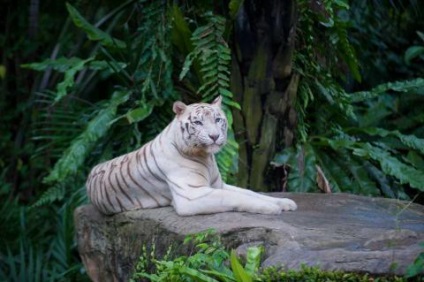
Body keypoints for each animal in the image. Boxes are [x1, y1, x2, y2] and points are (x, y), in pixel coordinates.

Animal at [86, 96, 298, 215]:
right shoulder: (192, 195)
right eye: (198, 122)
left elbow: (250, 192)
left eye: (218, 119)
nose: (214, 136)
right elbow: (235, 197)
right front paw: (271, 208)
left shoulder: (218, 185)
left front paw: (285, 202)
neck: (206, 157)